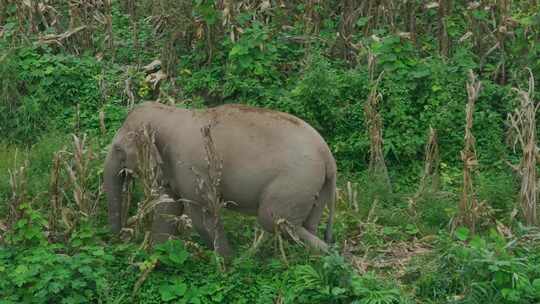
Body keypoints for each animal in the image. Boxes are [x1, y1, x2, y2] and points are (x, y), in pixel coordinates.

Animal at [103, 102, 336, 256]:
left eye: (118, 149)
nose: (118, 239)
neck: (170, 112)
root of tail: (328, 155)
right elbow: (167, 207)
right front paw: (157, 255)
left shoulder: (192, 168)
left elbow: (202, 213)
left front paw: (228, 263)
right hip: (316, 187)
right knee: (305, 225)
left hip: (294, 183)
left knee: (275, 220)